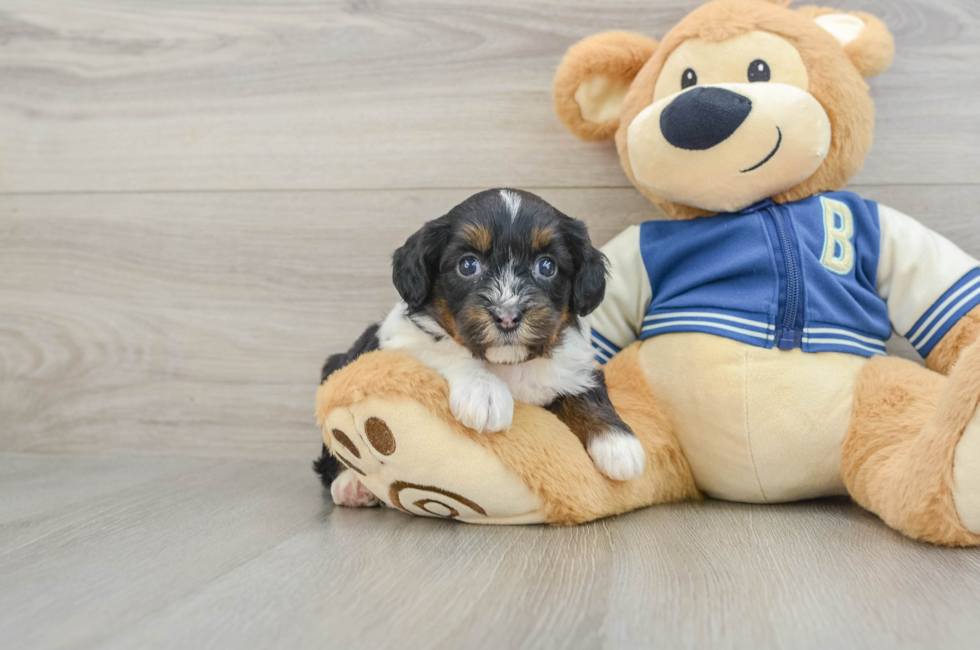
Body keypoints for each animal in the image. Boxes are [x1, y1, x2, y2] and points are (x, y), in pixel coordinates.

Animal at [316, 189, 644, 506]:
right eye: (468, 265)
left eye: (547, 266)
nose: (508, 316)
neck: (510, 364)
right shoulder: (399, 338)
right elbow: (448, 348)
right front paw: (485, 392)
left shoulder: (573, 365)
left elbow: (587, 391)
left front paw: (618, 443)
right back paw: (352, 485)